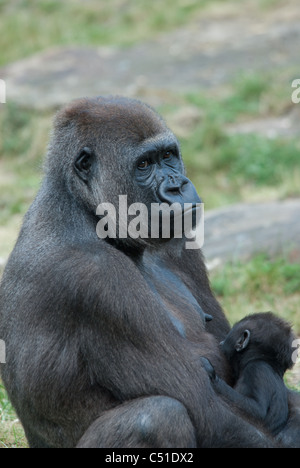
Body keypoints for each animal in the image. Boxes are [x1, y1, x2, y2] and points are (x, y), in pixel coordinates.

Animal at [0, 97, 298, 448]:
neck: (84, 210)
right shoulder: (98, 279)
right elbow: (203, 408)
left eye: (168, 156)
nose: (178, 186)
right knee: (158, 417)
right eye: (144, 165)